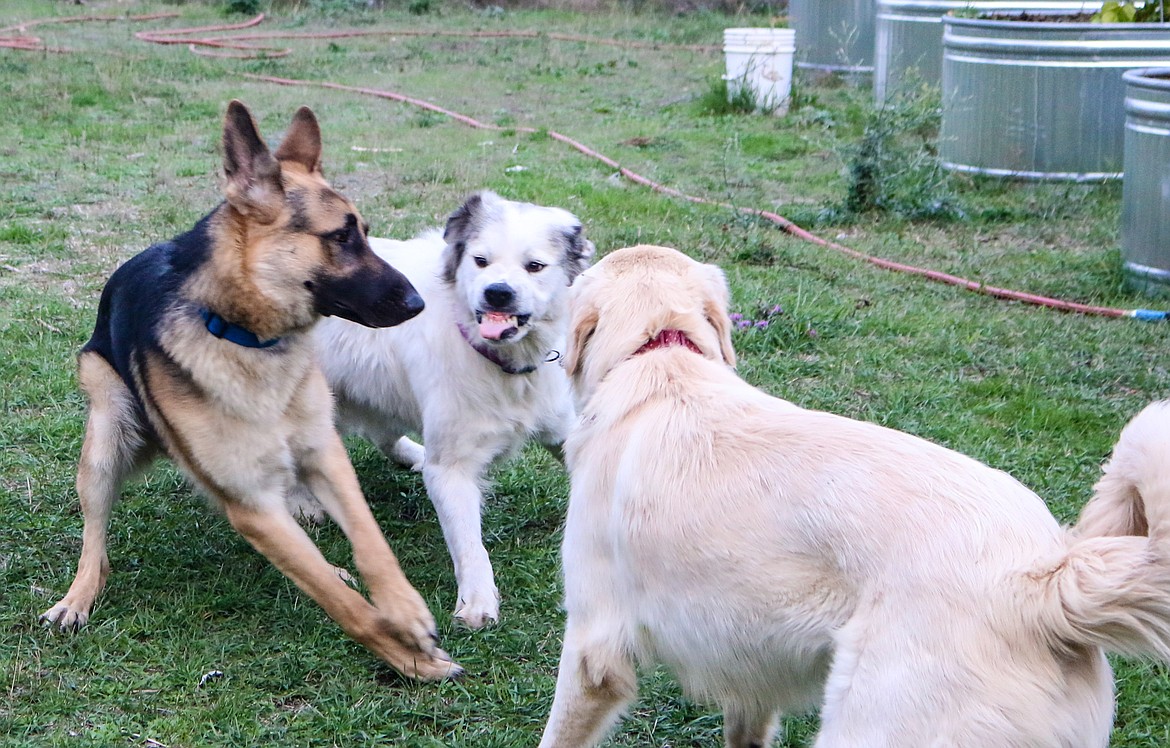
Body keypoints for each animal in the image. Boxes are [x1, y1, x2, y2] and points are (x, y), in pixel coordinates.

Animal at [37, 100, 456, 683]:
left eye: (365, 232)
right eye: (340, 237)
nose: (419, 303)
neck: (248, 340)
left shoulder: (325, 455)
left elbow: (372, 546)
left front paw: (406, 611)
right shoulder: (252, 505)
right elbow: (343, 606)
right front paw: (409, 656)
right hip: (105, 438)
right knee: (94, 541)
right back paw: (77, 598)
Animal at [311, 191, 594, 627]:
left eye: (534, 266)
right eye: (481, 261)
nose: (497, 292)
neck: (501, 363)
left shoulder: (561, 429)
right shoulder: (451, 469)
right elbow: (469, 544)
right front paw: (477, 601)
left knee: (385, 434)